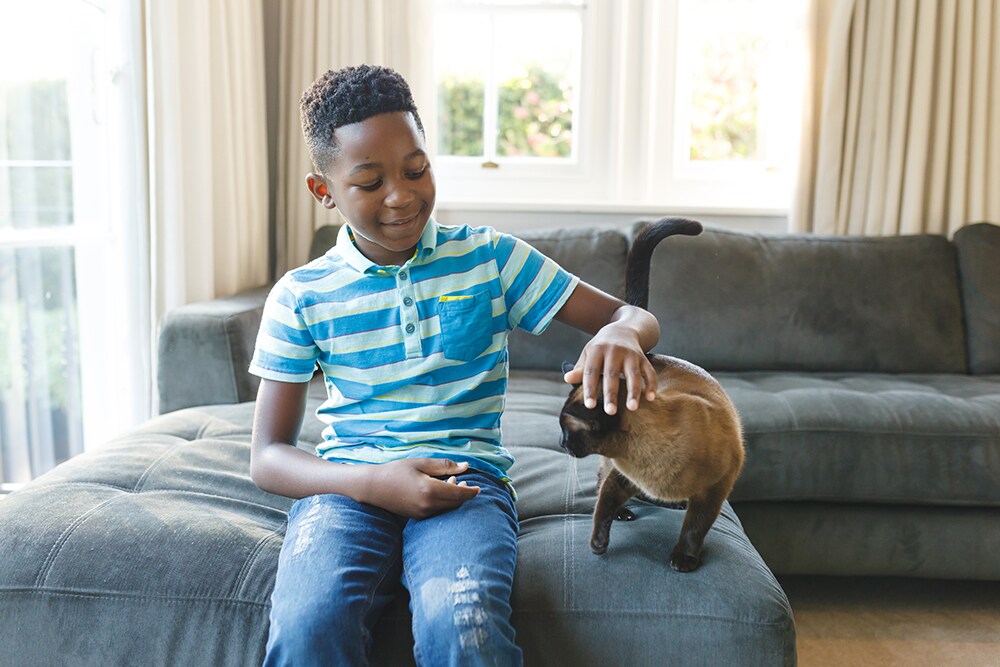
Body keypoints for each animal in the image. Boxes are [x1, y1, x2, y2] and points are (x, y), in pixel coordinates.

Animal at [560, 219, 748, 576]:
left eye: (566, 432)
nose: (561, 445)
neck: (649, 469)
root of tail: (647, 354)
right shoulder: (621, 476)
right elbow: (602, 506)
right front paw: (598, 544)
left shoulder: (714, 491)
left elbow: (694, 529)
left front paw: (684, 559)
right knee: (600, 480)